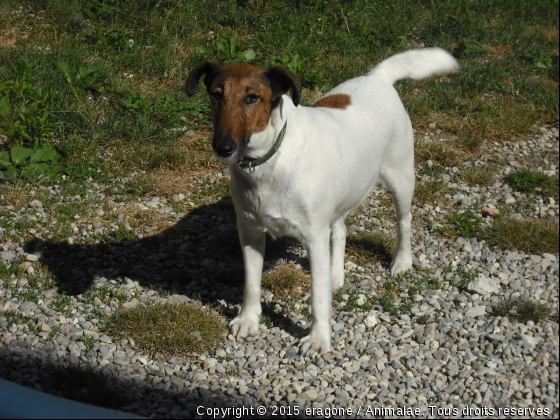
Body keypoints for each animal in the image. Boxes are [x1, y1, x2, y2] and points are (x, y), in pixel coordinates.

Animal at [186, 47, 458, 352]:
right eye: (216, 95)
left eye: (252, 98)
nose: (223, 148)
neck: (270, 159)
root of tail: (377, 77)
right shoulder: (250, 231)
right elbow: (252, 283)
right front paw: (248, 319)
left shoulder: (313, 238)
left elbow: (317, 297)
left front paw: (318, 338)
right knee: (340, 230)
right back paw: (335, 274)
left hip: (401, 178)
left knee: (404, 221)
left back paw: (402, 261)